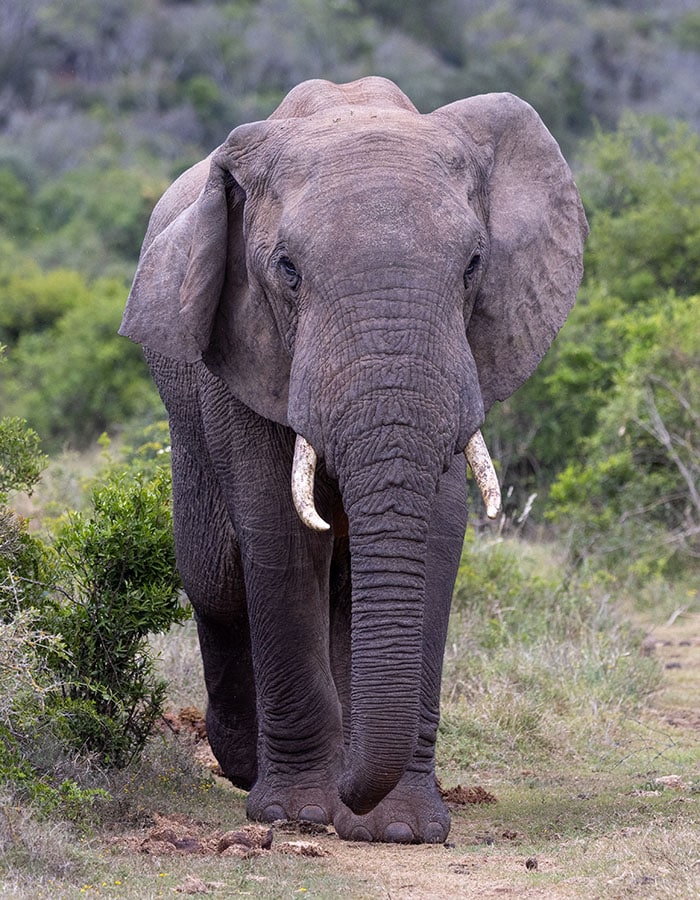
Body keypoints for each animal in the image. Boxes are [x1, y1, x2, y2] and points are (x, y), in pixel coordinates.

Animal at [120, 76, 587, 844]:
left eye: (474, 265)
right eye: (287, 270)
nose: (349, 795)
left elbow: (435, 534)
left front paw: (397, 830)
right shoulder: (245, 355)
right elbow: (279, 538)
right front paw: (301, 815)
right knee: (215, 577)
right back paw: (243, 764)